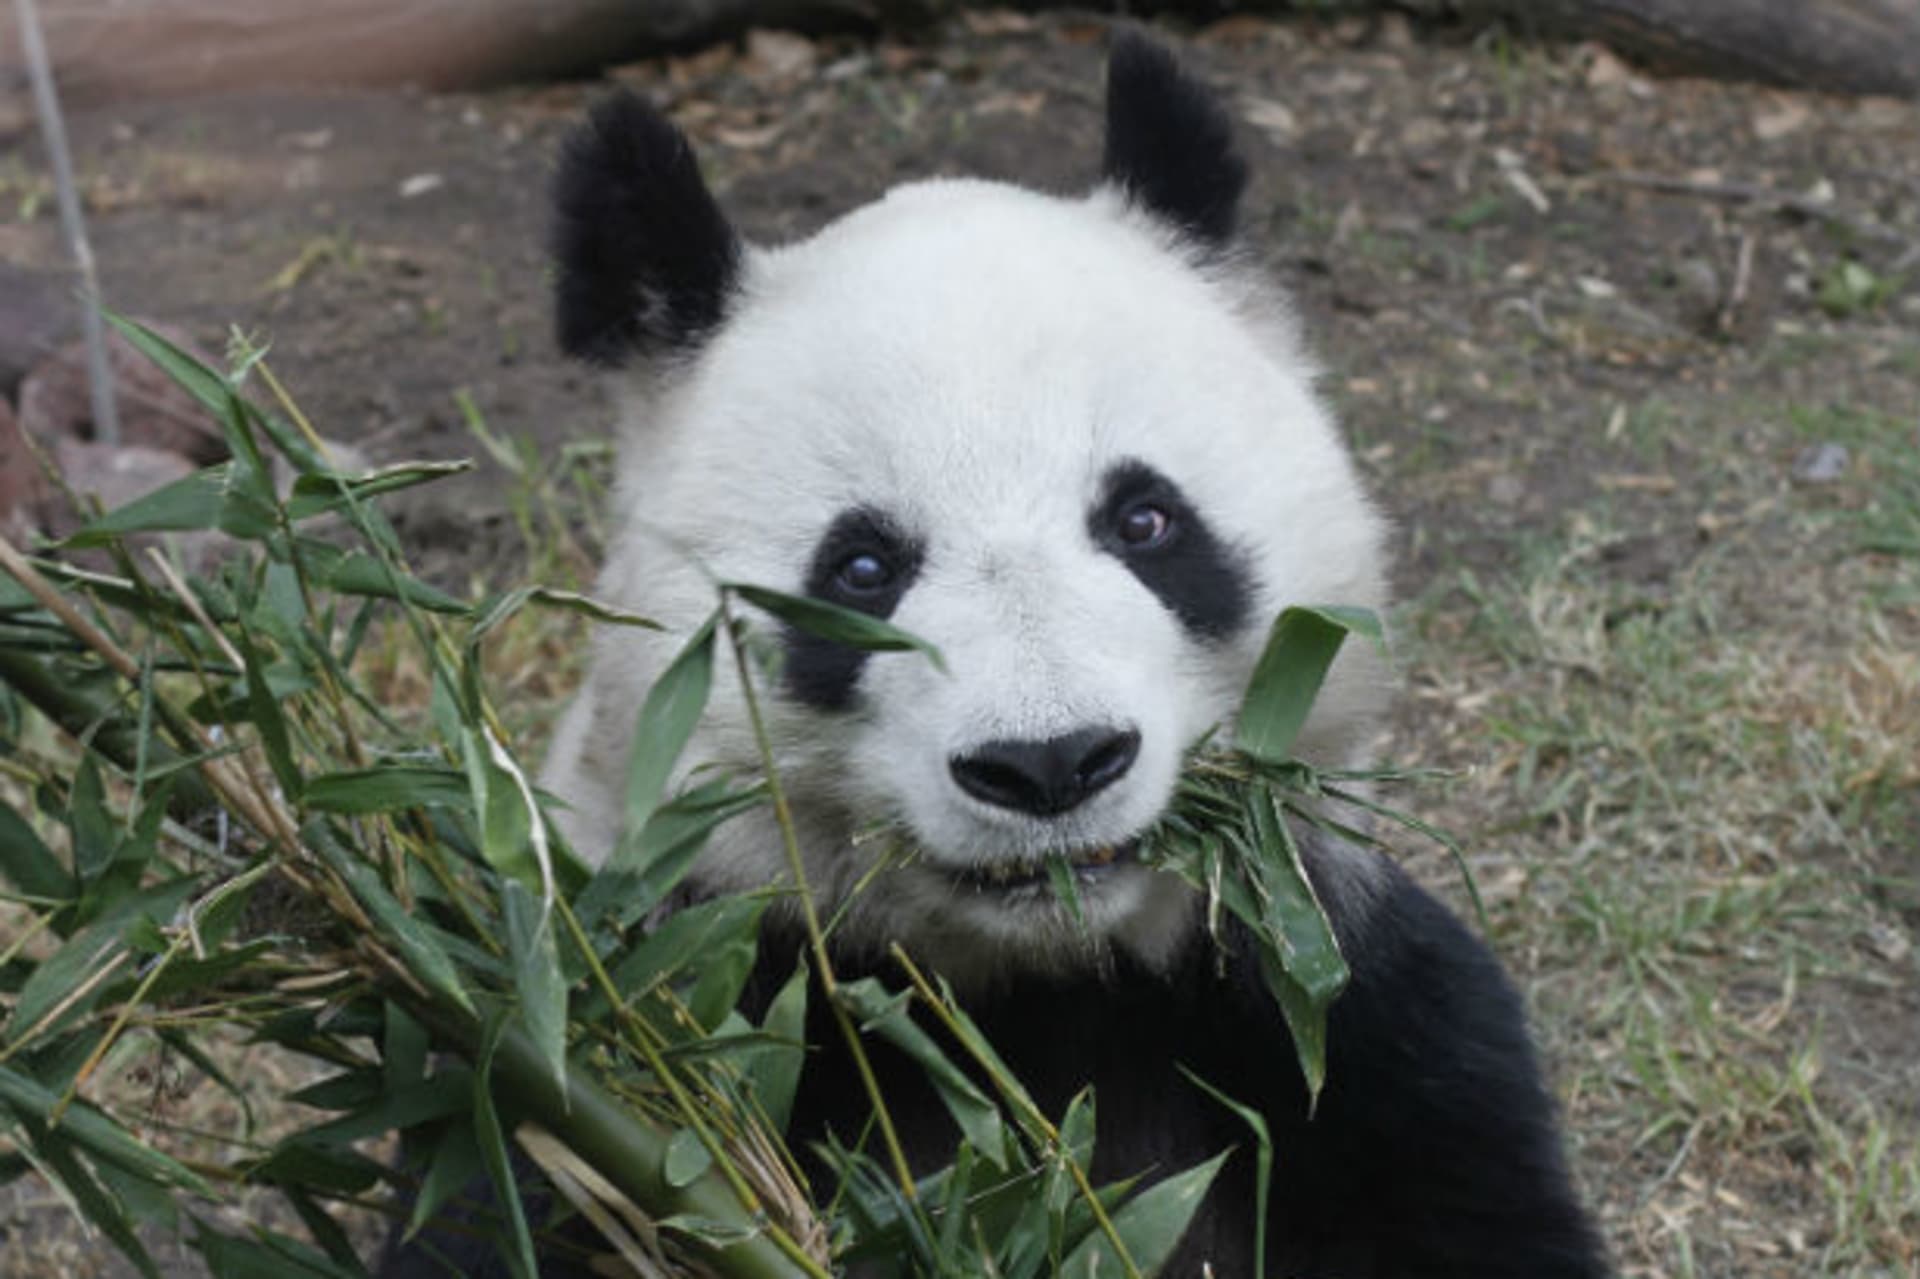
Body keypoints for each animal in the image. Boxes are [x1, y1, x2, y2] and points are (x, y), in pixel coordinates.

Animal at [389, 30, 1609, 1279]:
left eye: (1145, 520)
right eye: (862, 569)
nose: (1051, 764)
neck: (1035, 984)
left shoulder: (1319, 1001)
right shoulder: (630, 1007)